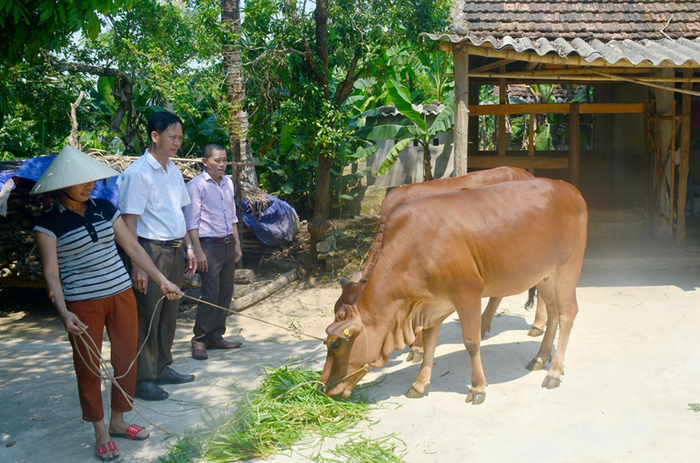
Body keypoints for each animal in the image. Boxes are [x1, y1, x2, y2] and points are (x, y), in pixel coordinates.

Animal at [320, 179, 588, 404]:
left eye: (335, 344)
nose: (323, 387)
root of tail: (569, 189)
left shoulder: (467, 295)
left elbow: (471, 342)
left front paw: (478, 387)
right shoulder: (432, 304)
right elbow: (430, 342)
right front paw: (419, 384)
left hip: (567, 269)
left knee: (568, 314)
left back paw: (554, 372)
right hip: (545, 275)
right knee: (553, 312)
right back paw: (540, 358)